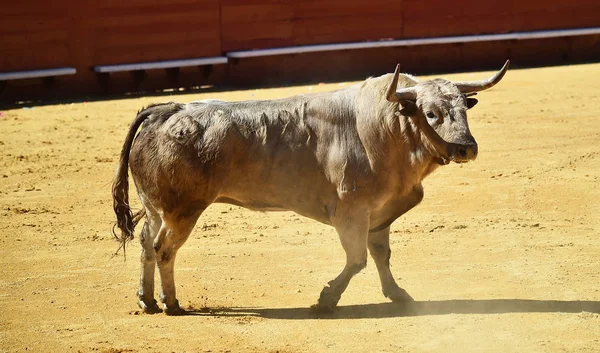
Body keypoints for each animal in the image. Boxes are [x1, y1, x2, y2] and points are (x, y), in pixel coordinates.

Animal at [111, 61, 506, 314]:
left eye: (464, 109)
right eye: (431, 113)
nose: (466, 148)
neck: (387, 127)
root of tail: (166, 109)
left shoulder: (380, 212)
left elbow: (380, 255)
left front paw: (396, 293)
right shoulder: (352, 211)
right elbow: (357, 259)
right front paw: (327, 299)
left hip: (156, 208)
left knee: (146, 243)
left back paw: (147, 300)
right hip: (183, 211)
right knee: (165, 249)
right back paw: (172, 304)